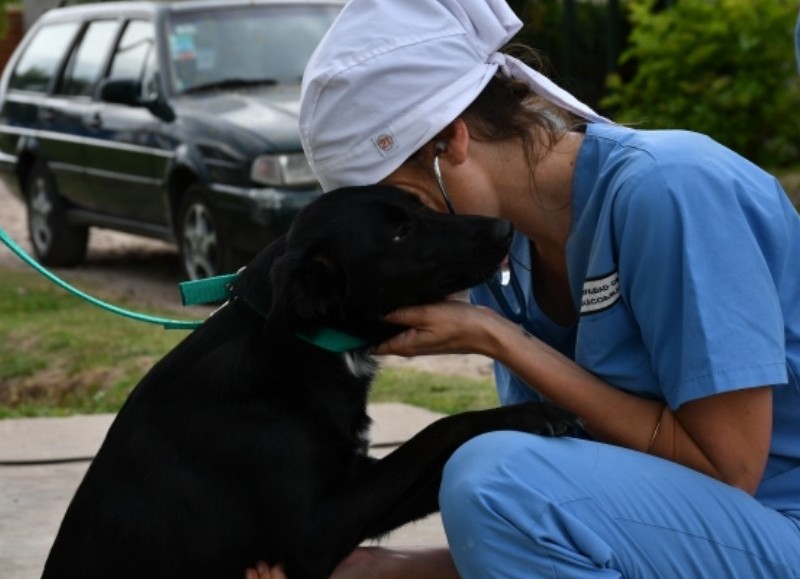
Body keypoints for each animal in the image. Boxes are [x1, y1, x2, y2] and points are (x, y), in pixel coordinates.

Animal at [42, 186, 576, 579]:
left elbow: (432, 469)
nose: (505, 228)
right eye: (402, 234)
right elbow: (436, 431)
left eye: (420, 205)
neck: (306, 344)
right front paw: (531, 414)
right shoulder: (316, 530)